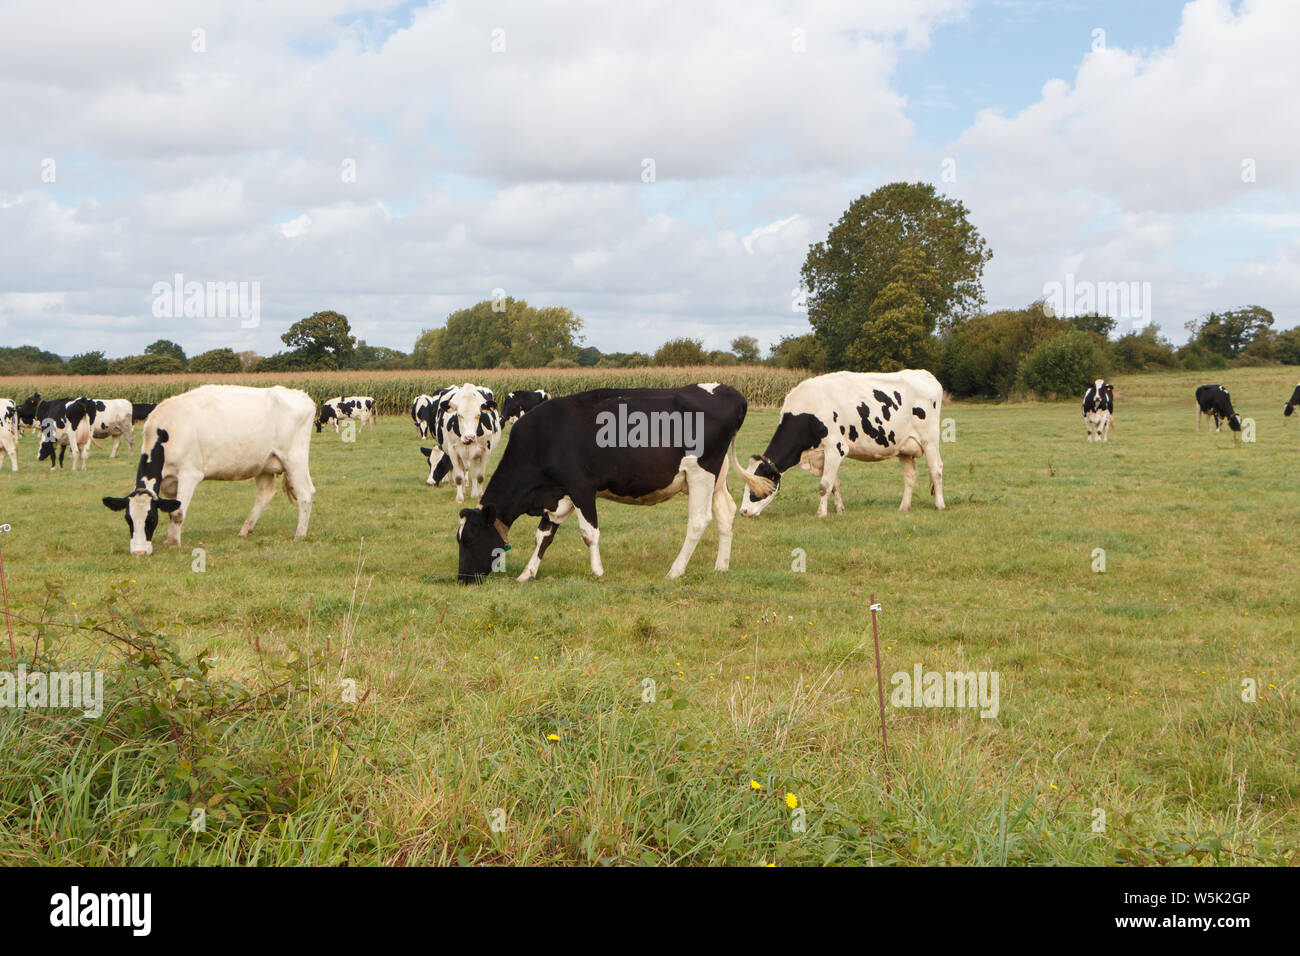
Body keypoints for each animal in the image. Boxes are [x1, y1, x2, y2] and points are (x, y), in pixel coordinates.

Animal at [101, 385, 316, 556]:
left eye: (151, 519)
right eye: (128, 519)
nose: (139, 552)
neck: (167, 430)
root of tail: (301, 394)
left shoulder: (189, 474)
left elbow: (178, 512)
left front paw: (174, 543)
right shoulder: (170, 481)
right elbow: (171, 510)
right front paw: (169, 538)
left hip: (294, 458)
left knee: (305, 493)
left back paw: (299, 534)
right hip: (264, 464)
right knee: (265, 494)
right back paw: (245, 530)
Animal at [455, 383, 768, 583]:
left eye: (469, 538)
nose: (462, 578)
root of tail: (730, 392)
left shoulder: (581, 487)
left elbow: (588, 532)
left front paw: (597, 571)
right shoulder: (558, 493)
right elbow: (544, 534)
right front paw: (527, 573)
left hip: (700, 472)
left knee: (698, 521)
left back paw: (675, 571)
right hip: (716, 476)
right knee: (725, 514)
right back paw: (721, 567)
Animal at [738, 370, 946, 519]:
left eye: (756, 488)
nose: (744, 511)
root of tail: (925, 374)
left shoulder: (835, 447)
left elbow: (824, 484)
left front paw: (821, 513)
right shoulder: (825, 453)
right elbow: (834, 484)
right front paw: (839, 510)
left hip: (930, 440)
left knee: (936, 469)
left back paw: (939, 505)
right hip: (903, 447)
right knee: (910, 475)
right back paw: (904, 507)